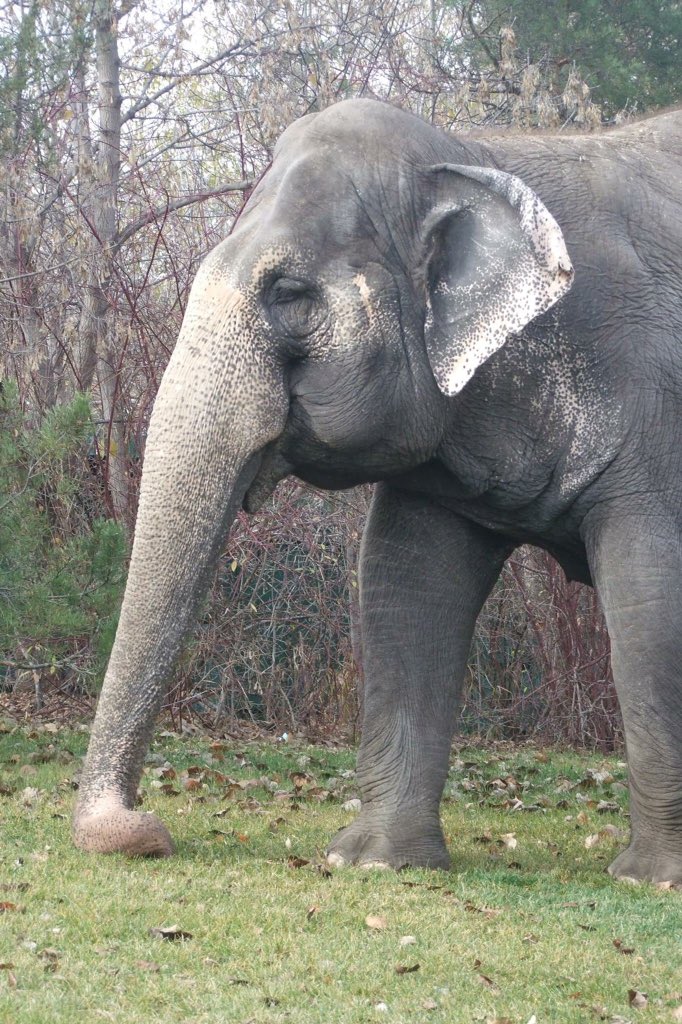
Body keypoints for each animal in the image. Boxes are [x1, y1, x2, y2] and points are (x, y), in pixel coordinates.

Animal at [73, 98, 682, 886]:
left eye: (288, 293)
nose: (142, 830)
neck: (475, 154)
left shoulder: (657, 416)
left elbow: (651, 601)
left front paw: (653, 879)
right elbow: (404, 585)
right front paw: (374, 863)